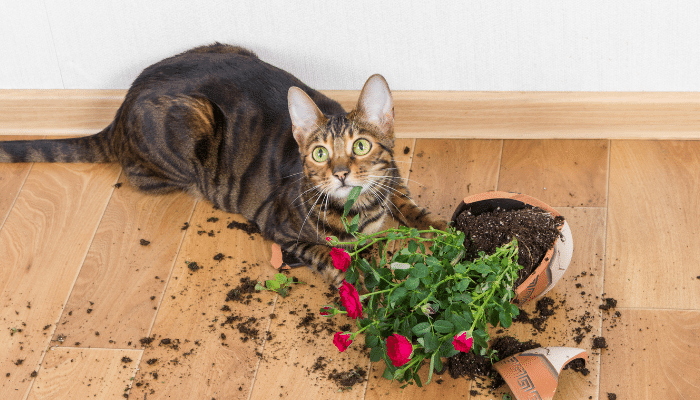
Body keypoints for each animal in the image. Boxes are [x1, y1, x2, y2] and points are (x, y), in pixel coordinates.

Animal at [0, 43, 446, 286]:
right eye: (319, 153)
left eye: (361, 145)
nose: (340, 174)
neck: (362, 211)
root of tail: (121, 108)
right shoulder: (277, 227)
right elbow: (324, 252)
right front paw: (356, 280)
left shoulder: (391, 178)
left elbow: (405, 200)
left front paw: (439, 227)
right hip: (190, 125)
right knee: (138, 173)